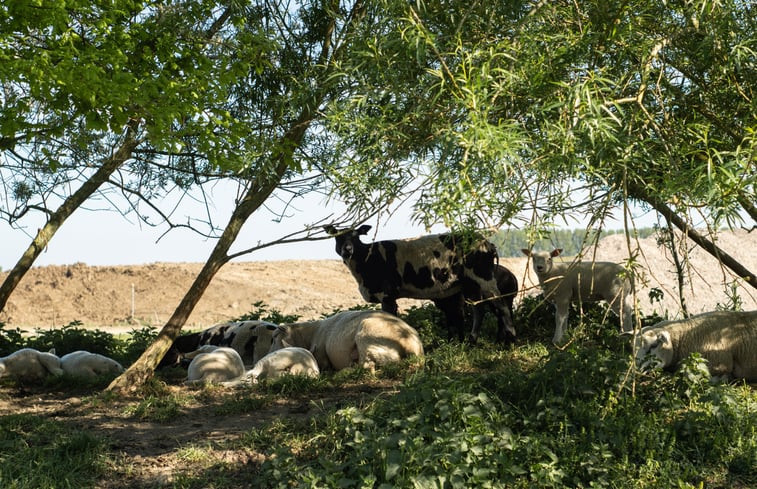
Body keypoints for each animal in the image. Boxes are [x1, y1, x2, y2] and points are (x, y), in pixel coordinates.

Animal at [324, 225, 512, 344]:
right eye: (338, 237)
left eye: (355, 236)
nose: (347, 249)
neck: (366, 259)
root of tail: (488, 243)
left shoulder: (387, 294)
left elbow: (390, 318)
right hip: (470, 284)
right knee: (479, 309)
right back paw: (472, 340)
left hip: (484, 277)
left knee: (501, 305)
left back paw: (511, 339)